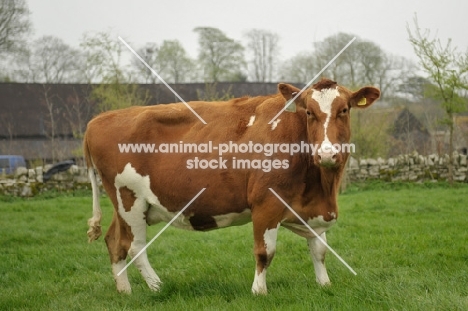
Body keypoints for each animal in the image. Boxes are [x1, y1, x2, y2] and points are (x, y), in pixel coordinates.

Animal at [84, 78, 380, 294]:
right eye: (309, 112)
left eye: (344, 110)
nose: (327, 154)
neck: (321, 186)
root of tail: (98, 120)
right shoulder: (266, 205)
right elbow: (265, 252)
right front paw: (259, 291)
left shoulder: (313, 209)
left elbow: (319, 250)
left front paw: (324, 284)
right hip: (129, 200)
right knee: (135, 246)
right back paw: (157, 287)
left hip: (128, 206)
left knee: (115, 241)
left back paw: (125, 291)